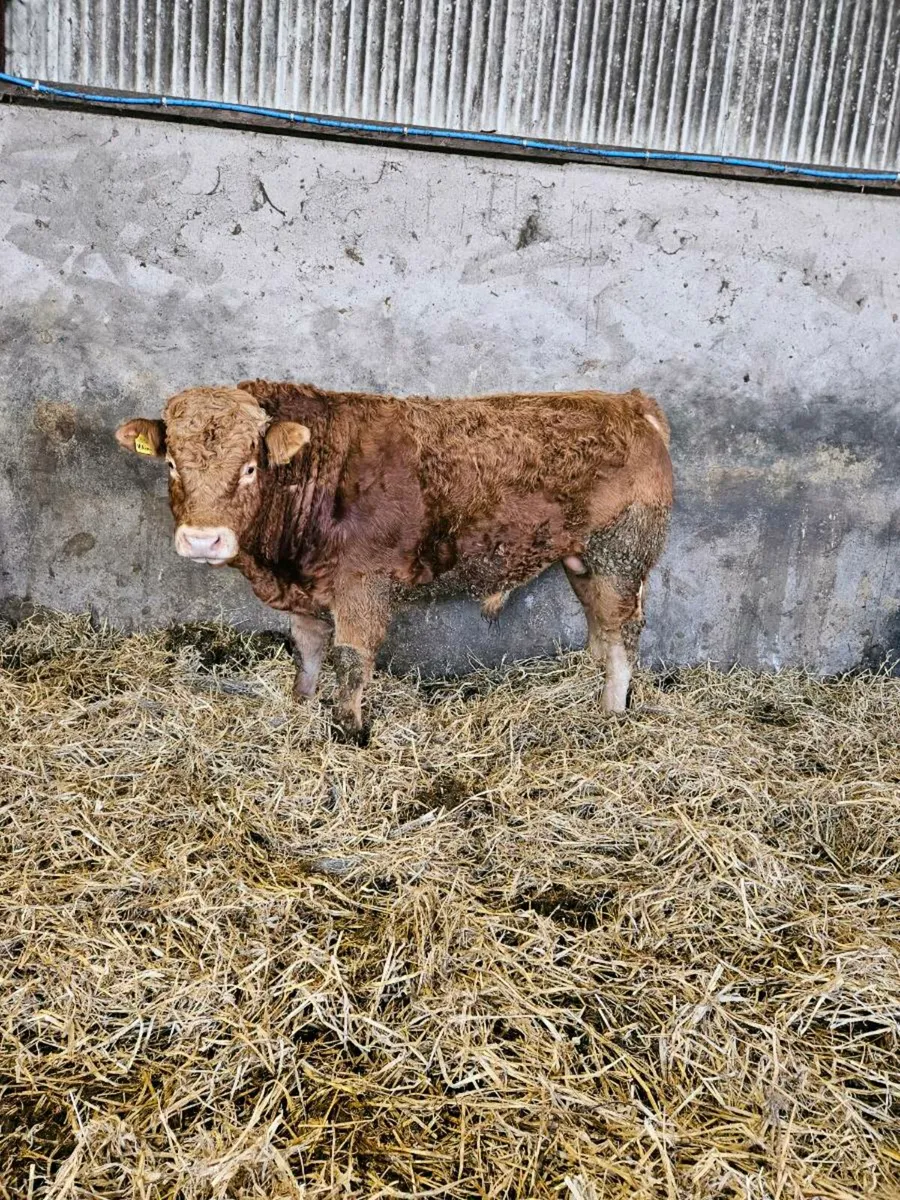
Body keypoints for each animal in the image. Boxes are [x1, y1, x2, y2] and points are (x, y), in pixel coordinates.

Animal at [116, 380, 673, 741]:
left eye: (251, 467)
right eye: (171, 463)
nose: (202, 540)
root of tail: (628, 403)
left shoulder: (363, 588)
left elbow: (350, 662)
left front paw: (350, 732)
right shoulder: (305, 593)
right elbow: (308, 652)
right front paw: (301, 705)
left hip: (621, 553)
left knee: (623, 633)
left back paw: (612, 714)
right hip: (584, 562)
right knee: (602, 627)